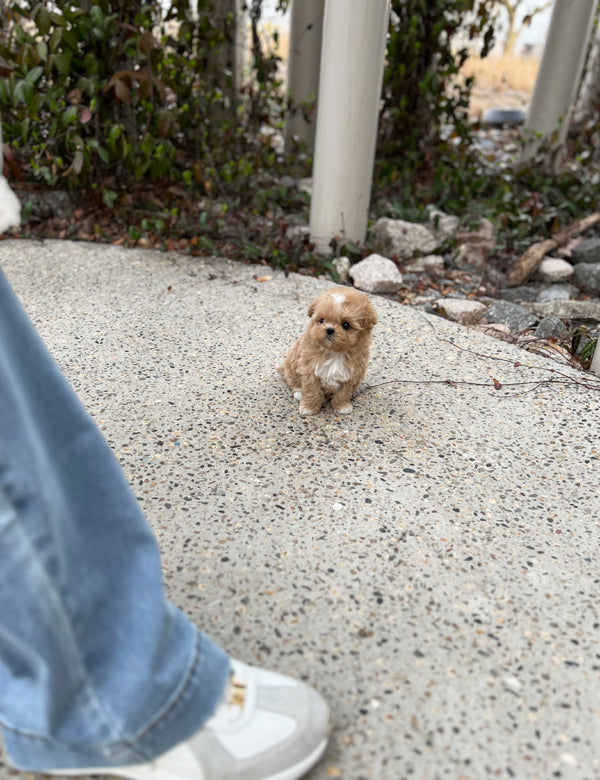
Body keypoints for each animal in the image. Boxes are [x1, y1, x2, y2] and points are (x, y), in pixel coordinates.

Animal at [278, 286, 378, 418]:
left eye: (346, 325)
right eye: (322, 320)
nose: (329, 329)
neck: (335, 352)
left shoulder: (352, 373)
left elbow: (344, 392)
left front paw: (341, 407)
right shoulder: (309, 369)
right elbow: (311, 390)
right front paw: (309, 408)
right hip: (291, 365)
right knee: (291, 380)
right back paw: (299, 393)